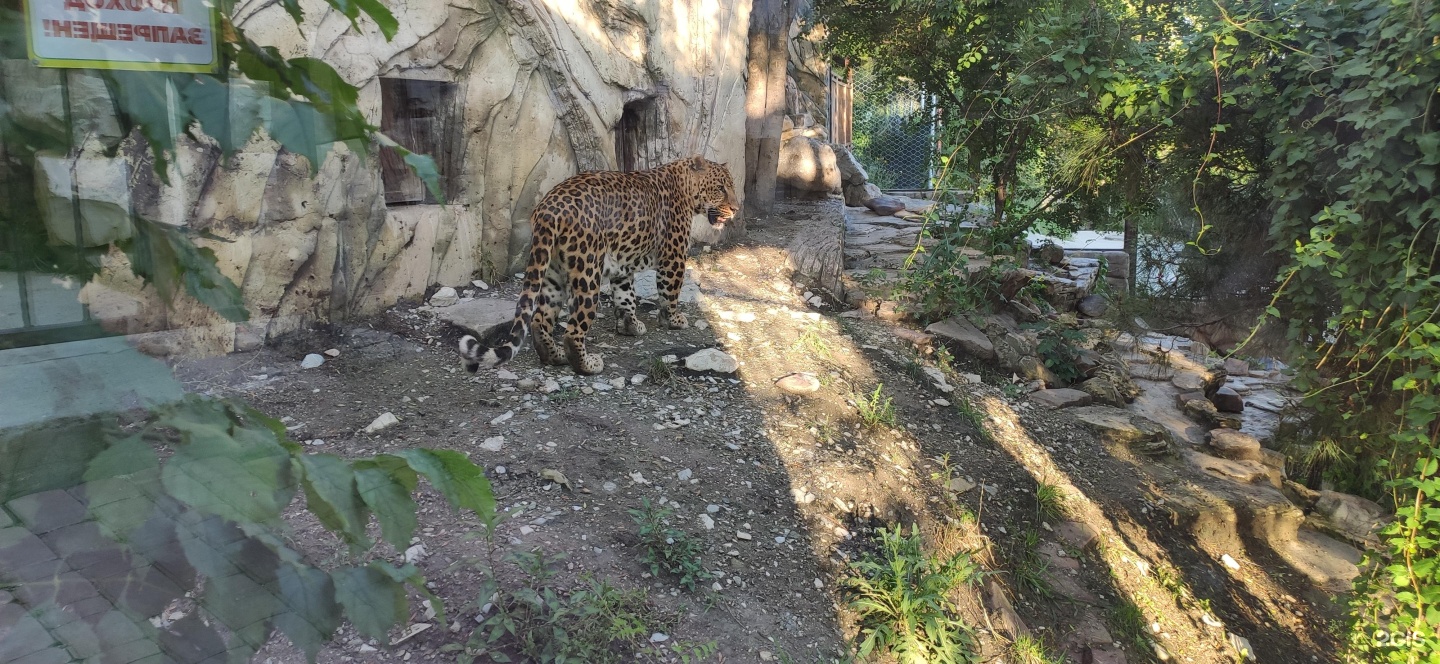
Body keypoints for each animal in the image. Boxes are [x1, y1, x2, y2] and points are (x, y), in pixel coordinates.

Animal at [452, 153, 743, 374]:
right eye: (721, 188)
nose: (736, 209)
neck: (684, 186)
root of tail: (548, 209)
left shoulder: (622, 265)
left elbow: (626, 297)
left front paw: (630, 326)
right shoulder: (674, 257)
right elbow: (670, 292)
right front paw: (674, 320)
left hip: (552, 274)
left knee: (539, 320)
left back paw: (554, 357)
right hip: (587, 273)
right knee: (573, 331)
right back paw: (587, 365)